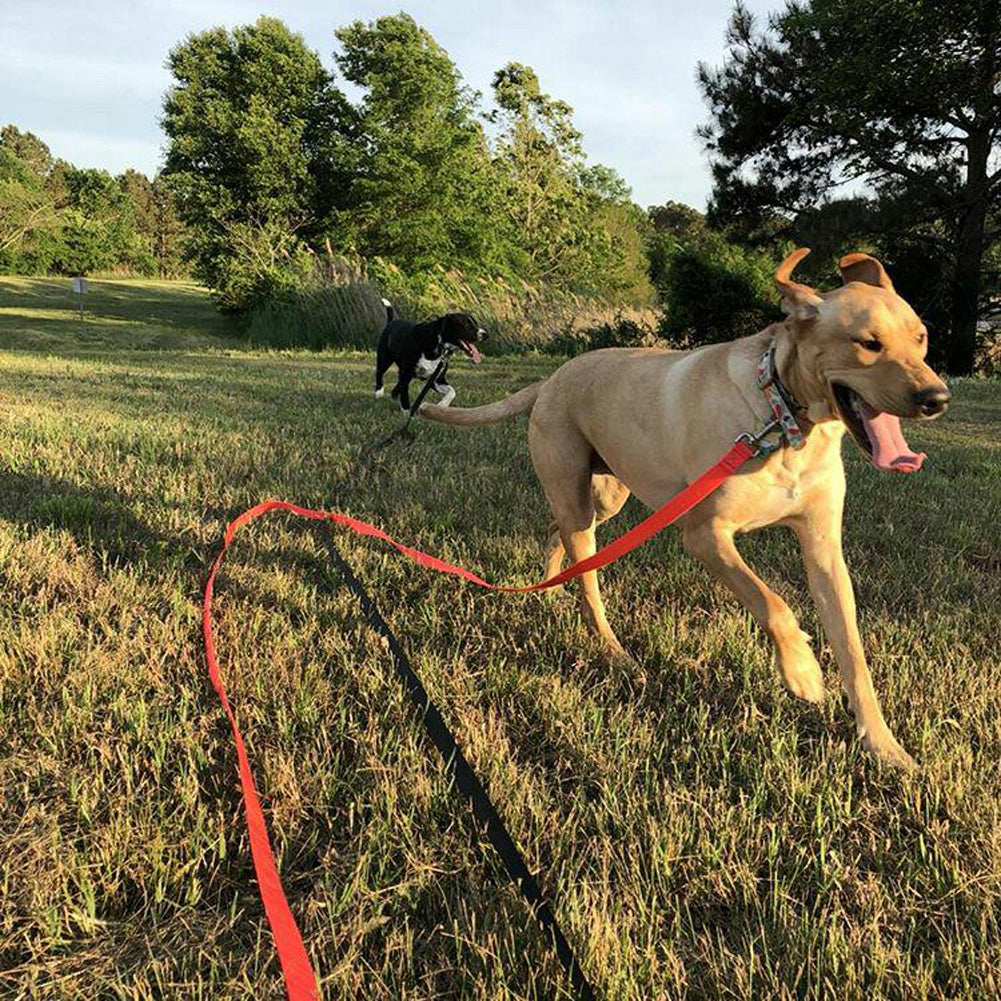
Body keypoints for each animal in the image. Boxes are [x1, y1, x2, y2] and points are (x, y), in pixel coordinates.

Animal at [420, 250, 944, 764]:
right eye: (868, 343)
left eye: (921, 337)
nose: (936, 398)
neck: (781, 418)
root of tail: (552, 378)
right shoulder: (706, 535)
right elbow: (771, 602)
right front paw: (802, 672)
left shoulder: (824, 550)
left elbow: (853, 653)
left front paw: (884, 745)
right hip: (578, 494)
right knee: (587, 578)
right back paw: (614, 651)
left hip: (605, 497)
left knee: (560, 537)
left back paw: (552, 587)